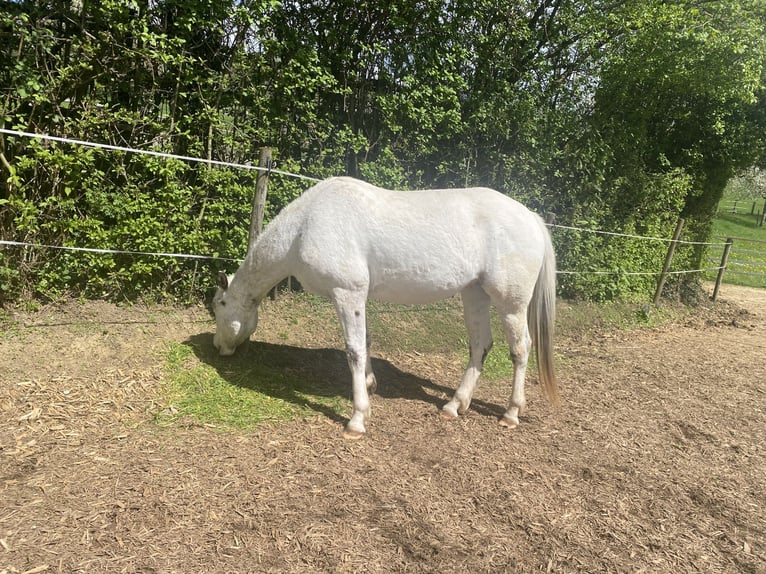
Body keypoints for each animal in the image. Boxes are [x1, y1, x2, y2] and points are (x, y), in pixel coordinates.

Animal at [212, 176, 558, 439]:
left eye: (220, 306)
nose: (218, 347)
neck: (305, 225)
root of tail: (531, 217)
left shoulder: (347, 293)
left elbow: (353, 350)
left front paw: (357, 419)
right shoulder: (359, 298)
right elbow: (365, 342)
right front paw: (369, 385)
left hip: (511, 302)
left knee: (520, 349)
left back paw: (510, 413)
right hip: (474, 294)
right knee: (480, 345)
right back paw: (454, 405)